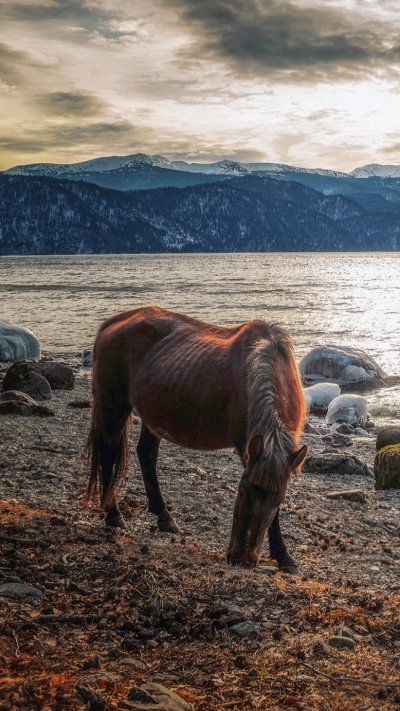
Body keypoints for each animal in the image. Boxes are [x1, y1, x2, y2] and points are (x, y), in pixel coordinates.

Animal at [85, 306, 307, 572]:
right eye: (243, 491)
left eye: (278, 499)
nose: (241, 559)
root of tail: (112, 323)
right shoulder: (249, 450)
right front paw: (282, 555)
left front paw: (284, 557)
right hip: (114, 409)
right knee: (109, 457)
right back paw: (113, 514)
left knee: (146, 455)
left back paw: (164, 517)